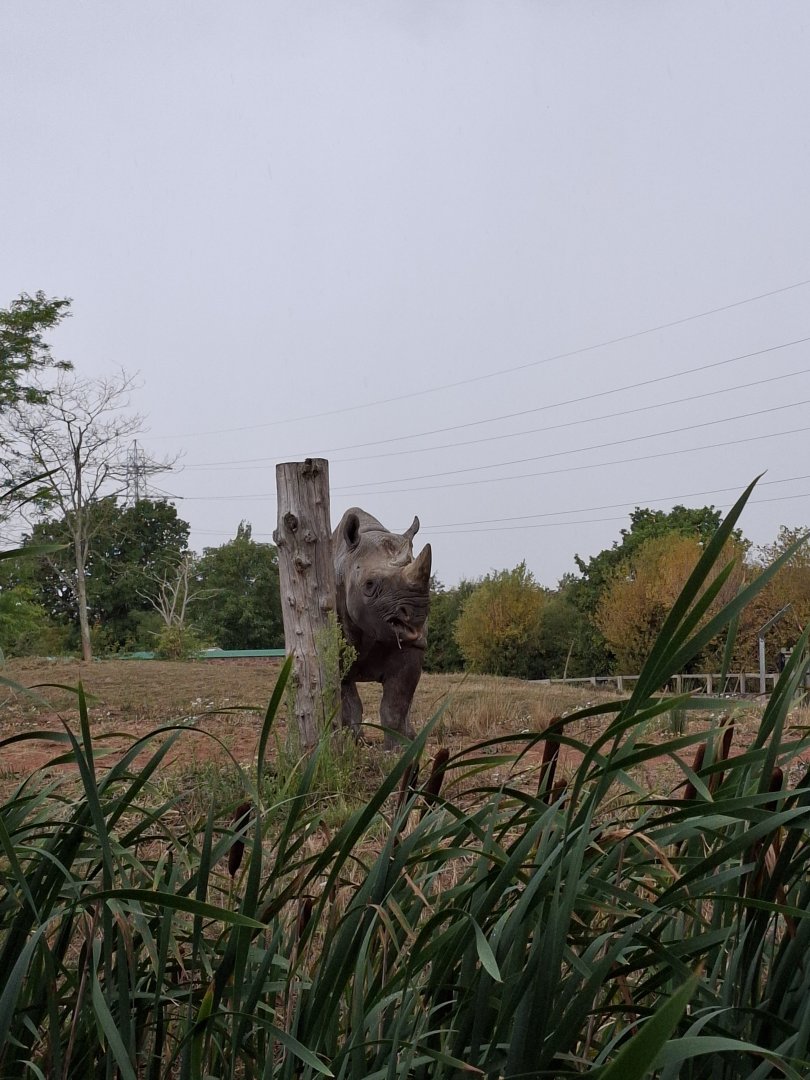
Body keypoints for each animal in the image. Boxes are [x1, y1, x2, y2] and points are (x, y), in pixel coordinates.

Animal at [333, 507, 432, 749]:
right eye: (369, 585)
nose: (417, 613)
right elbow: (350, 703)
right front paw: (352, 745)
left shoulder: (412, 645)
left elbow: (395, 705)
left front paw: (398, 749)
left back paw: (412, 737)